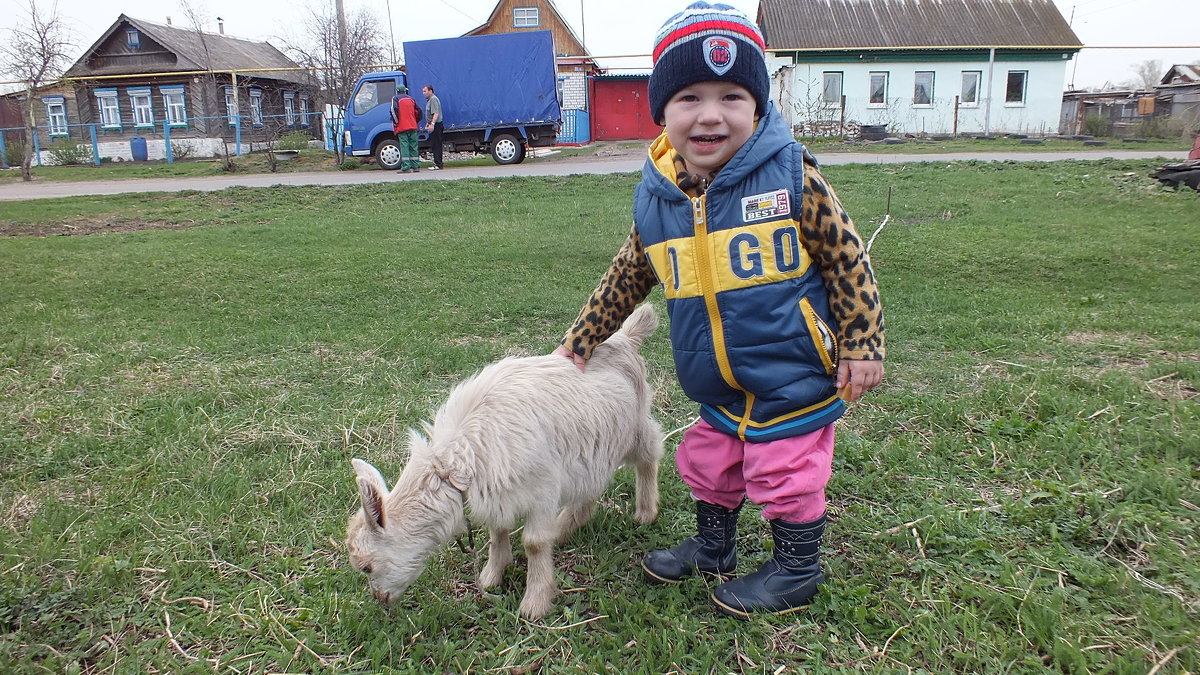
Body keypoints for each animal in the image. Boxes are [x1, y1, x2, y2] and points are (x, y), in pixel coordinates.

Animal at [348, 302, 667, 619]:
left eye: (366, 566)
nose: (380, 598)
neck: (455, 465)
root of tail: (626, 337)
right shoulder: (500, 489)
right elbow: (497, 530)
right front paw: (491, 576)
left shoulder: (542, 488)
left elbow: (534, 543)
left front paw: (534, 603)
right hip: (593, 449)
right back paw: (565, 528)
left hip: (634, 427)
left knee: (650, 453)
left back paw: (645, 512)